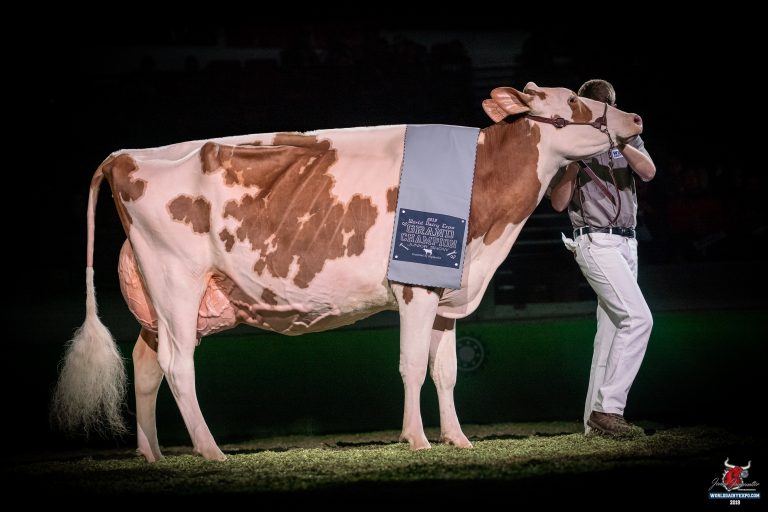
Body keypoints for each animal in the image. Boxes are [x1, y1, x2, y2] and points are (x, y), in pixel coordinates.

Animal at [52, 83, 643, 462]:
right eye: (574, 101)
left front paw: (457, 440)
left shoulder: (448, 296)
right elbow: (411, 366)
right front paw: (416, 440)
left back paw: (152, 454)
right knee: (178, 366)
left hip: (159, 298)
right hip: (176, 281)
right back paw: (210, 450)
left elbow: (446, 372)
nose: (635, 119)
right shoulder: (415, 287)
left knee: (146, 362)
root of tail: (126, 155)